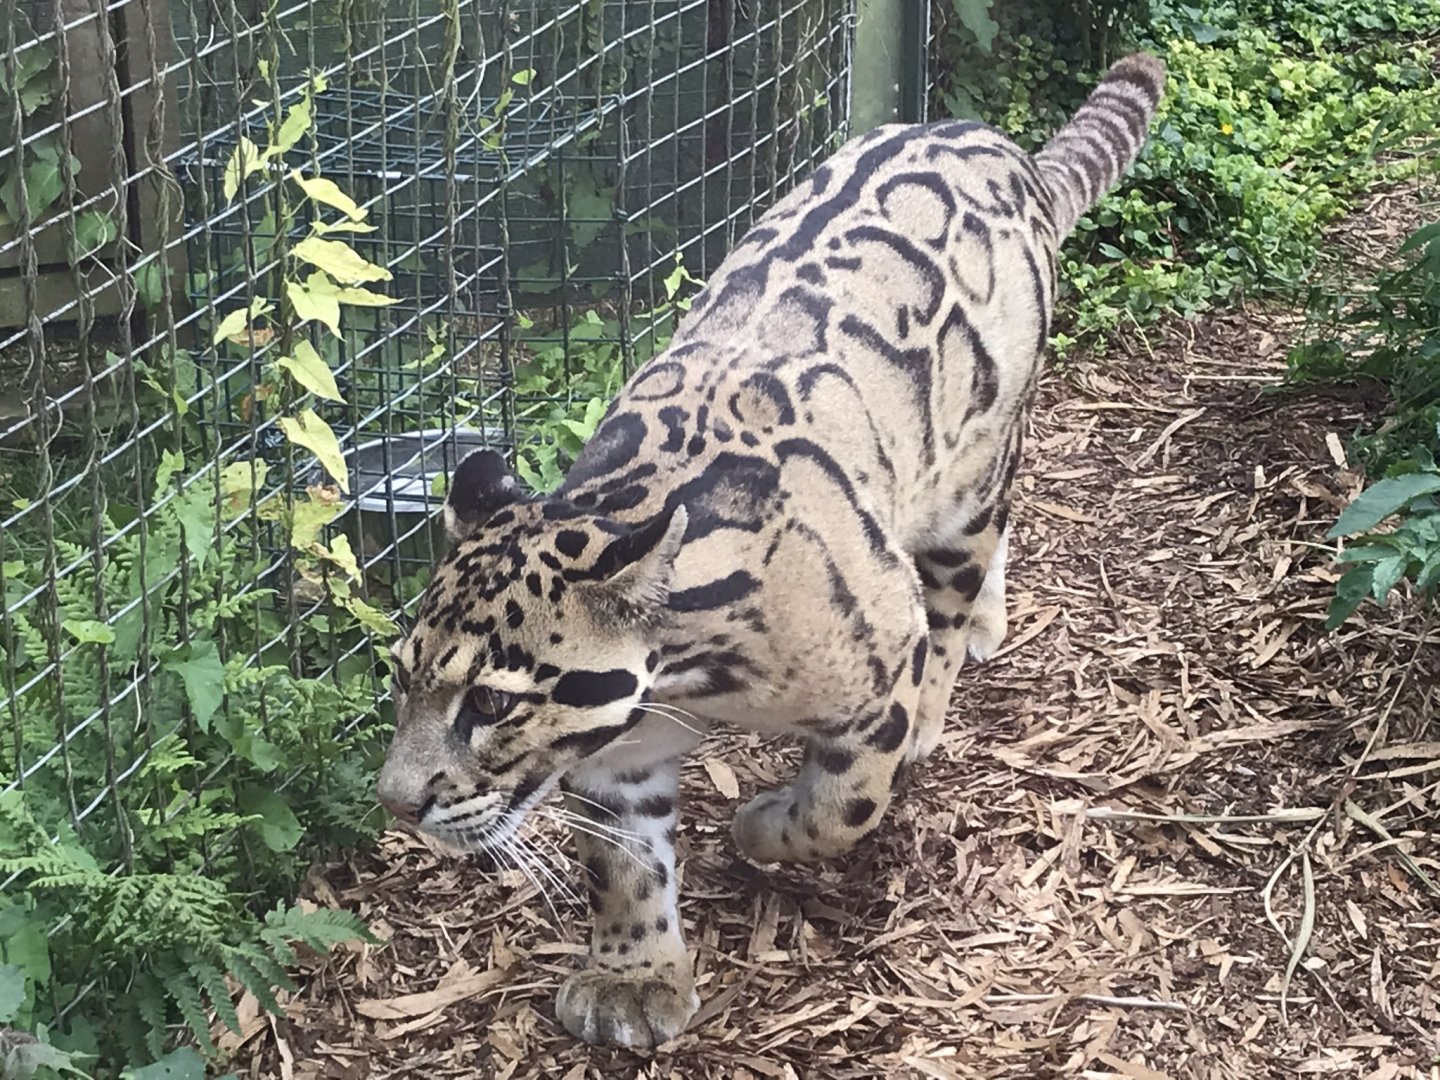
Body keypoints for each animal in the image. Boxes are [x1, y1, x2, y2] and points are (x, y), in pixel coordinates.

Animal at [376, 53, 1165, 1050]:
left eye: (490, 702)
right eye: (399, 675)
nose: (396, 803)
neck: (688, 671)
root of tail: (1001, 147)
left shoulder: (876, 658)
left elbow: (843, 804)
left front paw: (764, 827)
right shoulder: (617, 753)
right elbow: (622, 861)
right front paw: (635, 974)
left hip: (973, 474)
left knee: (955, 591)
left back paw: (945, 680)